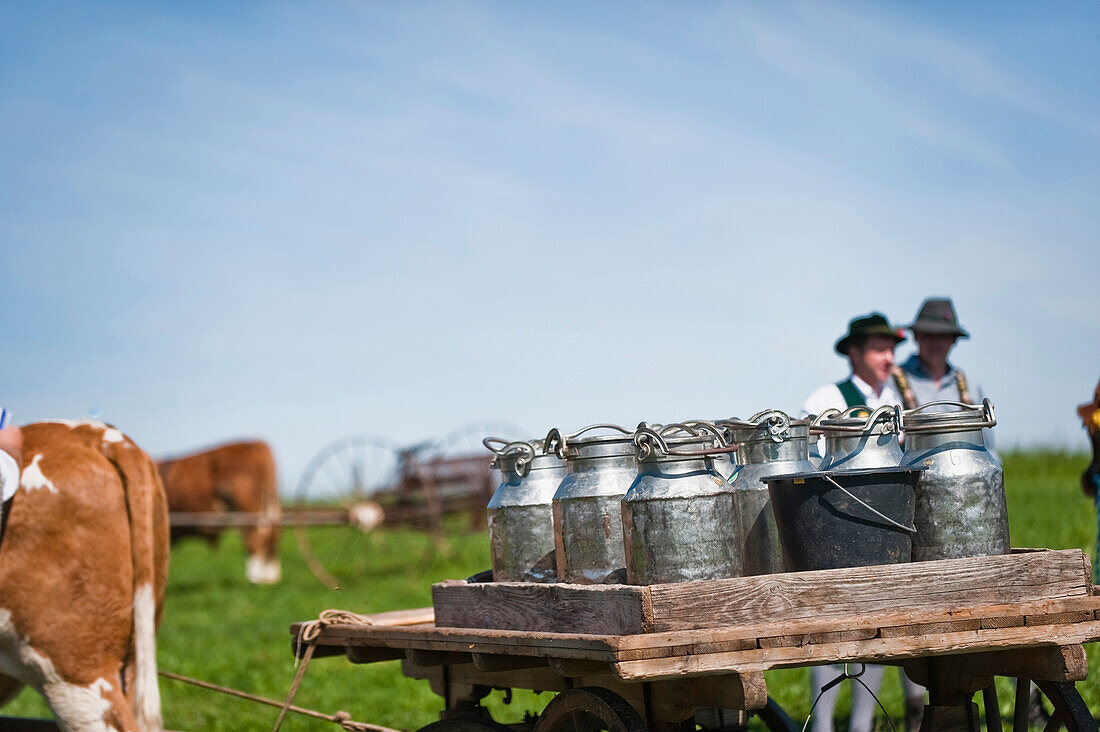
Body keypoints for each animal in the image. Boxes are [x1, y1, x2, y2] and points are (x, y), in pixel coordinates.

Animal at [157, 440, 281, 581]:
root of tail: (256, 443)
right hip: (269, 504)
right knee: (272, 534)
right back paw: (270, 576)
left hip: (247, 507)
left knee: (256, 536)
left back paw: (253, 577)